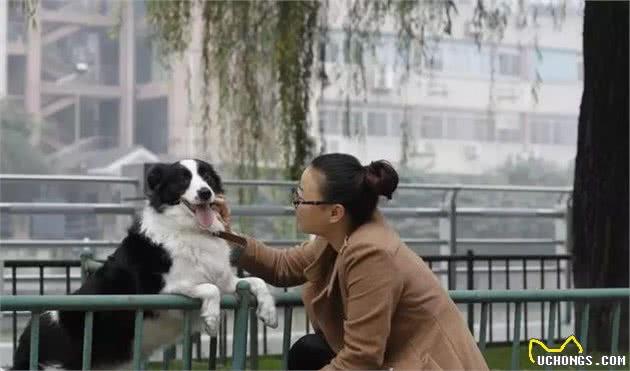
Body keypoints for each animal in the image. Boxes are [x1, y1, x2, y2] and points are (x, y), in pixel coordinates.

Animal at [11, 160, 278, 371]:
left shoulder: (225, 280)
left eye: (208, 177)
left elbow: (257, 281)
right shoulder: (165, 291)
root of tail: (24, 341)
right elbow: (209, 289)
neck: (190, 230)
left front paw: (269, 312)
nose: (205, 193)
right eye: (183, 179)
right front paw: (211, 319)